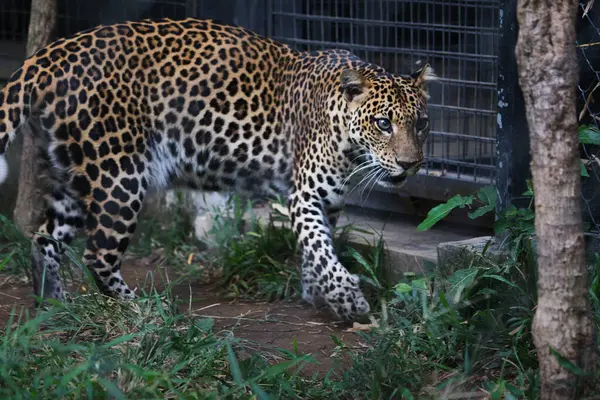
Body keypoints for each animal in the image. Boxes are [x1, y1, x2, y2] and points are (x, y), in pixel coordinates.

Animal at [0, 17, 436, 320]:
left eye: (421, 124)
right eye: (383, 124)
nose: (410, 163)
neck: (348, 140)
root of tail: (48, 55)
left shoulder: (327, 200)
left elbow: (317, 250)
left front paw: (315, 294)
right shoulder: (305, 194)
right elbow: (320, 249)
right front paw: (347, 300)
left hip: (72, 176)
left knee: (43, 238)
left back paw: (54, 305)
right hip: (118, 174)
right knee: (98, 255)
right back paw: (139, 308)